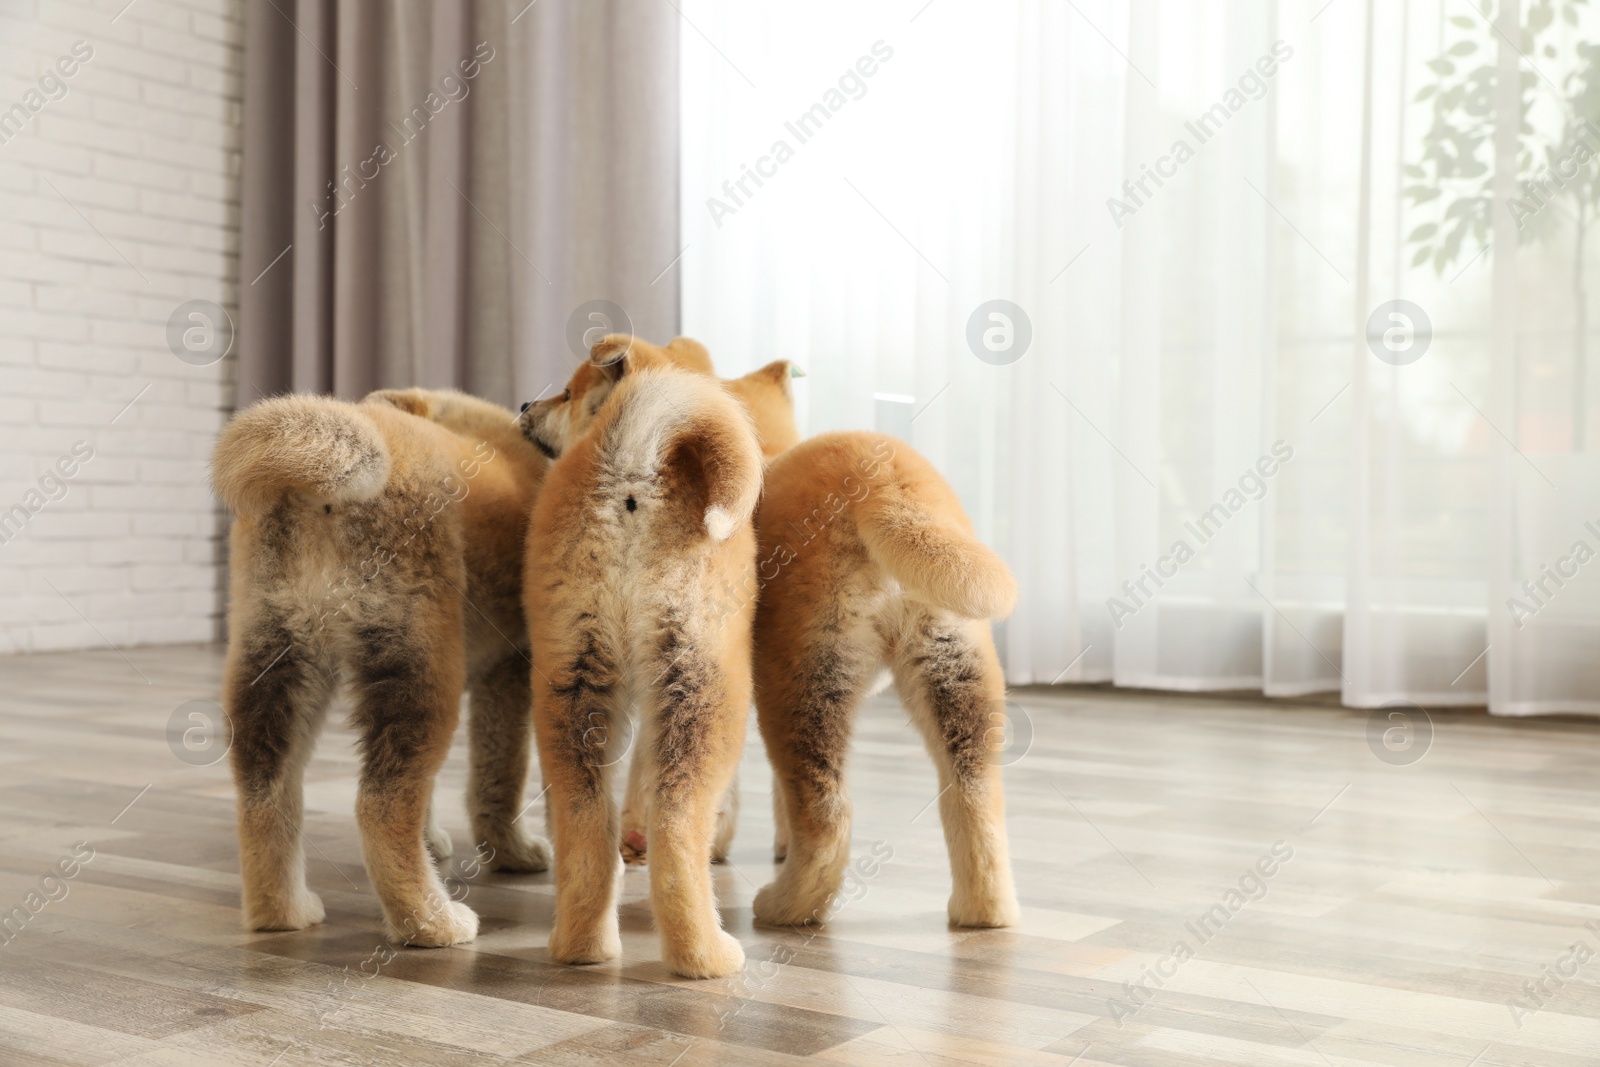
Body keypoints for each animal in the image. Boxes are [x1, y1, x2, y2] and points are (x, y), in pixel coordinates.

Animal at [212, 388, 550, 947]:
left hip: (276, 662)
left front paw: (434, 838)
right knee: (381, 806)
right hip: (418, 668)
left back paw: (281, 912)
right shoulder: (509, 670)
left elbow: (438, 792)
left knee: (264, 794)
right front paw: (513, 852)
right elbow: (499, 778)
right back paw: (433, 923)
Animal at [515, 337, 758, 979]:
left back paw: (583, 946)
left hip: (570, 678)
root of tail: (632, 468)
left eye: (566, 393)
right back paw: (706, 954)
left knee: (588, 831)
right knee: (677, 826)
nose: (524, 402)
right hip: (707, 690)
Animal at [752, 428, 1024, 927]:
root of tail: (884, 481)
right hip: (956, 674)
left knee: (826, 816)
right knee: (975, 798)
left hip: (800, 682)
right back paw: (983, 912)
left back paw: (785, 907)